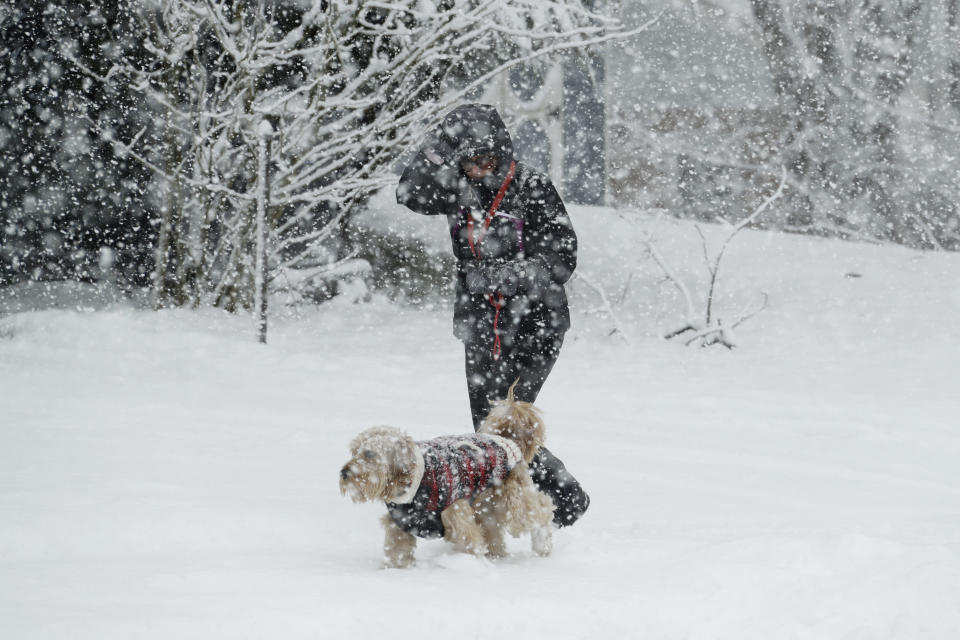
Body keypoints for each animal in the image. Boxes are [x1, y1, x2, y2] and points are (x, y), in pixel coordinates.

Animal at [340, 382, 556, 568]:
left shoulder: (457, 518)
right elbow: (397, 553)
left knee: (542, 507)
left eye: (369, 454)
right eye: (354, 451)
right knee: (495, 533)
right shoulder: (399, 525)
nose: (344, 472)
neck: (412, 483)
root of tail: (506, 438)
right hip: (486, 507)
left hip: (512, 503)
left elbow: (470, 543)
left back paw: (542, 546)